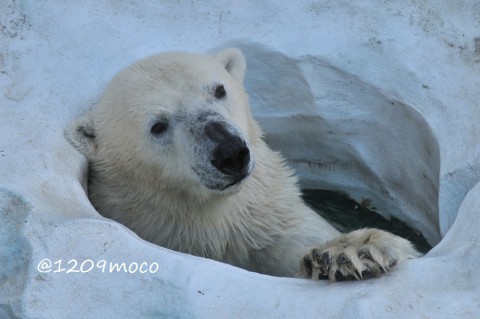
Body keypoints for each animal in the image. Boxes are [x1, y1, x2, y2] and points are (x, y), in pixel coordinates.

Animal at [64, 48, 420, 282]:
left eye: (219, 89)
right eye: (158, 126)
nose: (231, 153)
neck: (217, 221)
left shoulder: (267, 220)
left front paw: (354, 251)